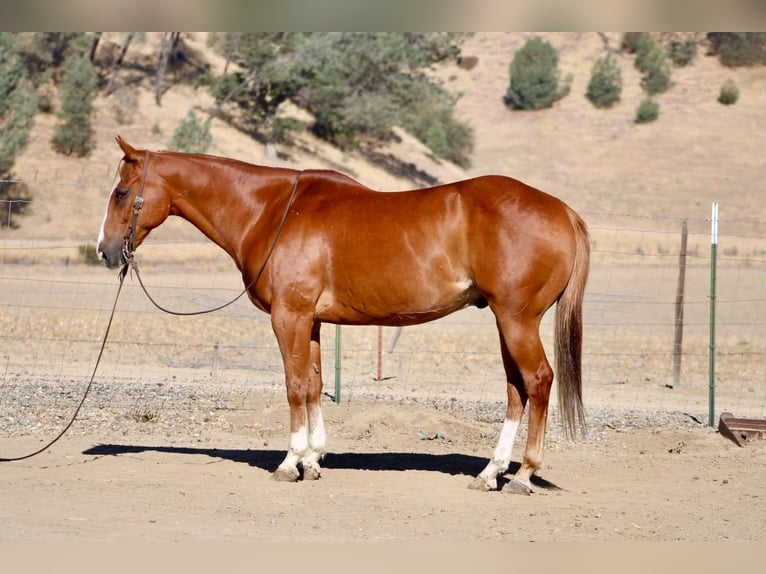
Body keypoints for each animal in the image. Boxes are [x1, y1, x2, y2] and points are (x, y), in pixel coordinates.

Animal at [97, 135, 590, 494]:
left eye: (121, 192)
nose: (104, 251)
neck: (272, 210)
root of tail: (563, 210)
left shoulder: (289, 317)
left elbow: (295, 387)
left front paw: (289, 462)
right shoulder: (311, 322)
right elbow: (314, 386)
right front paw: (313, 459)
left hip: (517, 320)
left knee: (538, 381)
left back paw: (522, 475)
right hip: (507, 323)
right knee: (516, 390)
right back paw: (490, 472)